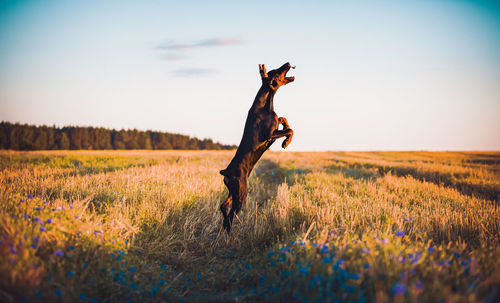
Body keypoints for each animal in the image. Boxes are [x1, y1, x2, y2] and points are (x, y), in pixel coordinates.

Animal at [220, 63, 296, 234]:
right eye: (276, 72)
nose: (288, 63)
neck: (264, 104)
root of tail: (226, 172)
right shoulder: (269, 135)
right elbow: (290, 130)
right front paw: (286, 143)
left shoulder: (274, 127)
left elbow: (284, 119)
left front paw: (285, 126)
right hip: (241, 194)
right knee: (230, 217)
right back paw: (229, 234)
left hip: (234, 192)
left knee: (223, 207)